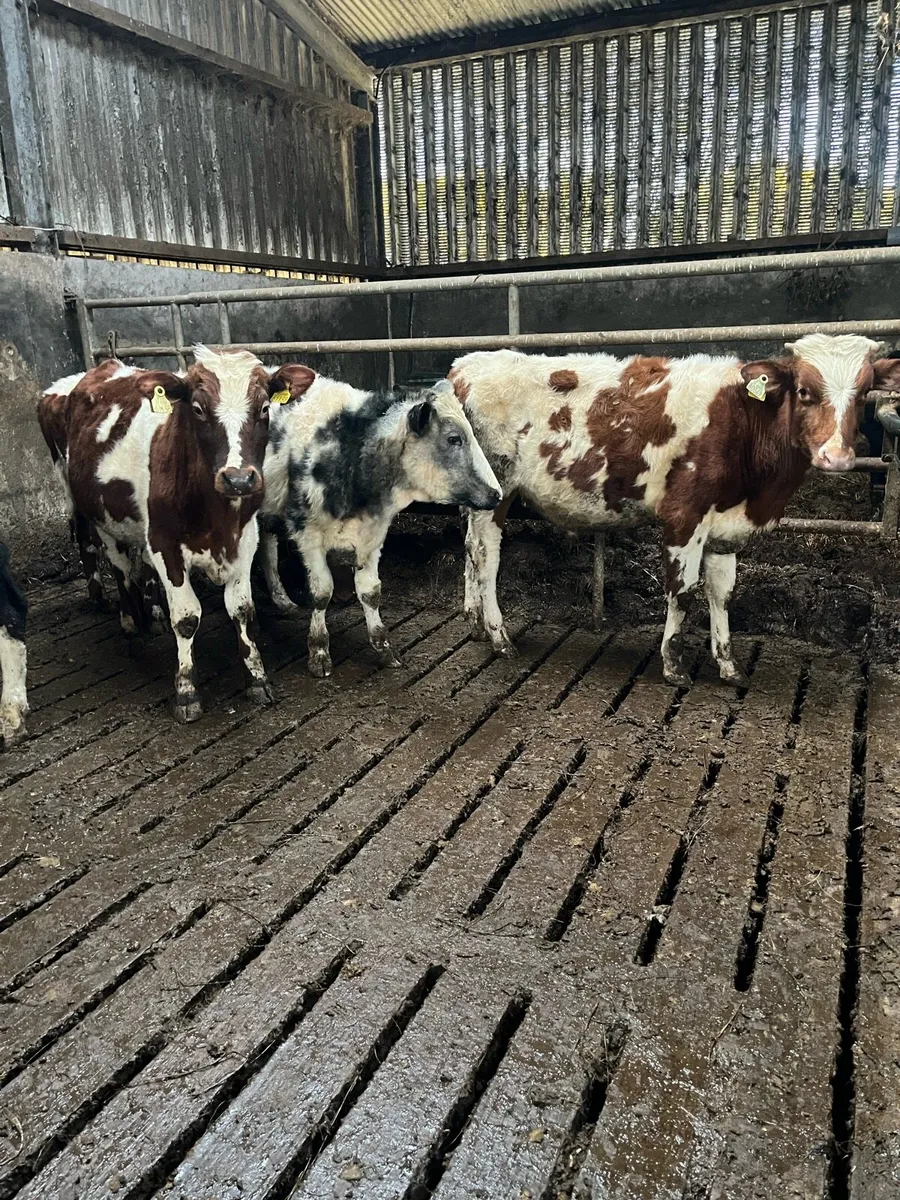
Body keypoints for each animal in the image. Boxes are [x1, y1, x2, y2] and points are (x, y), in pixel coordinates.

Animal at [64, 346, 283, 722]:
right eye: (197, 408)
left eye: (265, 408)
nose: (238, 478)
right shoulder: (165, 545)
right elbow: (187, 618)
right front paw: (186, 691)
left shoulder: (245, 539)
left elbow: (242, 610)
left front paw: (256, 678)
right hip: (104, 522)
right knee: (122, 570)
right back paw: (132, 627)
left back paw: (151, 616)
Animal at [257, 372, 502, 677]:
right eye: (454, 438)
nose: (497, 494)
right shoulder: (308, 534)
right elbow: (321, 592)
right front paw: (319, 651)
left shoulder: (373, 535)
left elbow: (370, 591)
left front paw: (383, 648)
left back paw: (282, 599)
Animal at [449, 335, 900, 686]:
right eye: (805, 390)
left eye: (864, 393)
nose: (837, 457)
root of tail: (465, 365)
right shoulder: (685, 515)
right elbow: (682, 591)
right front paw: (673, 664)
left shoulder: (725, 526)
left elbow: (722, 592)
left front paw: (728, 663)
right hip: (498, 488)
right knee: (487, 554)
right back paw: (499, 635)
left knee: (470, 547)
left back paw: (475, 623)